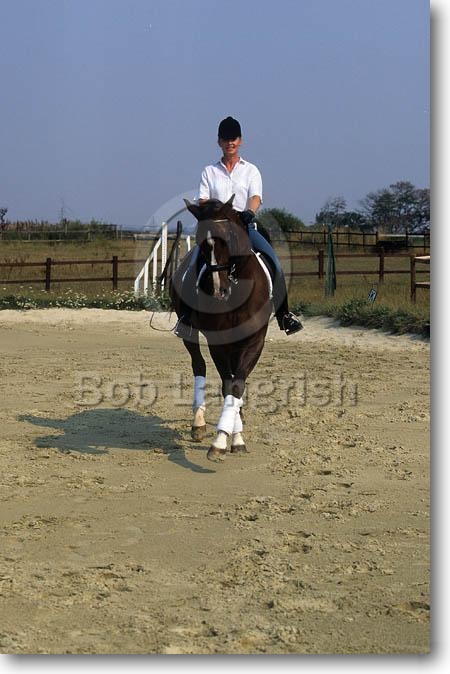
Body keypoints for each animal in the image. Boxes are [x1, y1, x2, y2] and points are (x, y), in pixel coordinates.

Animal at [170, 196, 273, 462]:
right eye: (200, 239)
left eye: (229, 236)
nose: (219, 290)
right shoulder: (218, 342)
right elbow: (228, 384)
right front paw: (224, 439)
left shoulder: (255, 341)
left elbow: (237, 384)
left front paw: (234, 436)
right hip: (190, 332)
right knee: (199, 366)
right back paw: (198, 423)